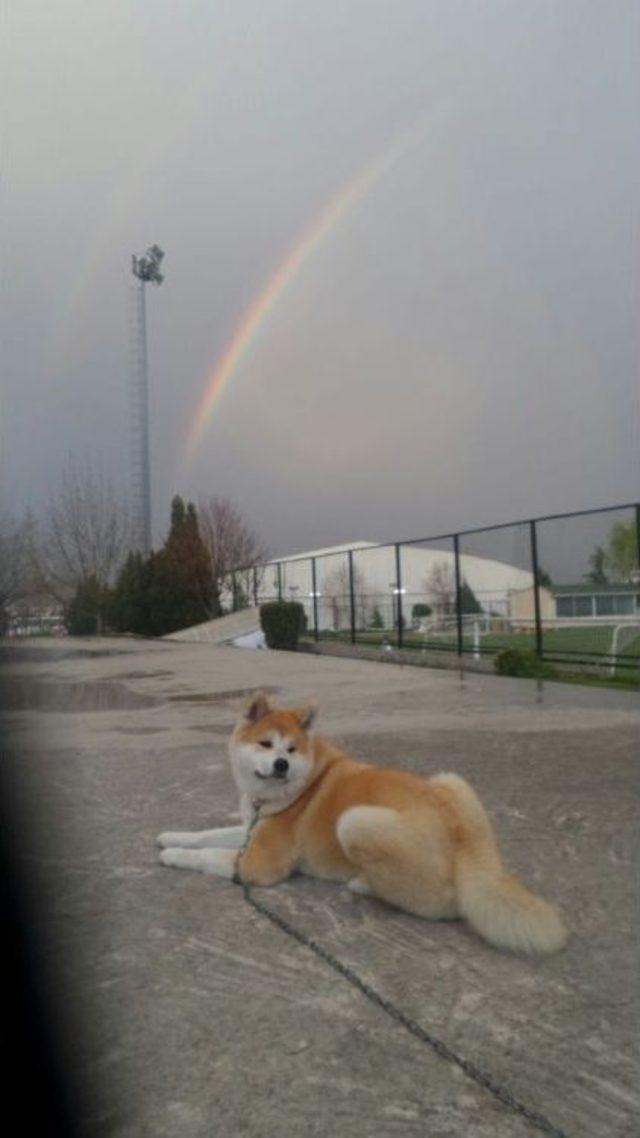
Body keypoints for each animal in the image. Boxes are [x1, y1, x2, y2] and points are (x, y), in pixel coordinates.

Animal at [157, 687, 564, 955]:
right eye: (266, 744)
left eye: (291, 749)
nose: (282, 764)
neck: (298, 786)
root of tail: (465, 839)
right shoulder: (249, 830)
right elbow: (206, 834)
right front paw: (170, 835)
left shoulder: (258, 863)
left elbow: (206, 855)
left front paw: (172, 856)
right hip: (450, 779)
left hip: (354, 822)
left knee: (443, 903)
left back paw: (364, 884)